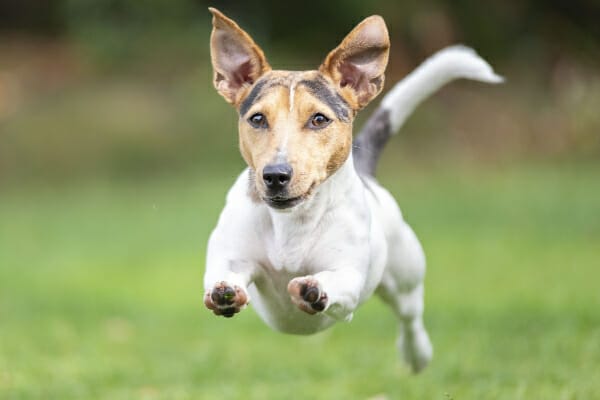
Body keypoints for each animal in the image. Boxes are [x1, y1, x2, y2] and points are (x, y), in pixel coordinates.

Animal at [203, 7, 502, 372]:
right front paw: (225, 292)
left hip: (405, 276)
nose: (275, 175)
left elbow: (338, 283)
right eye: (258, 119)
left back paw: (416, 353)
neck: (291, 221)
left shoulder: (348, 277)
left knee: (410, 316)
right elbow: (224, 274)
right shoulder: (232, 255)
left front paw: (315, 289)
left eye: (319, 119)